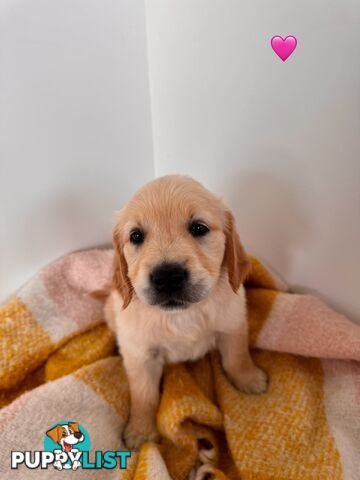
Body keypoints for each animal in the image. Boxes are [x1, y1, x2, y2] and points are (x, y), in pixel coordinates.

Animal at [104, 175, 268, 450]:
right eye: (136, 236)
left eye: (199, 228)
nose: (167, 276)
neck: (181, 315)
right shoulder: (140, 354)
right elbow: (143, 395)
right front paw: (141, 431)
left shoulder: (232, 325)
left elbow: (237, 358)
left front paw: (249, 379)